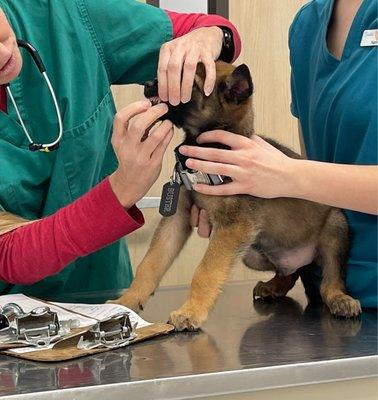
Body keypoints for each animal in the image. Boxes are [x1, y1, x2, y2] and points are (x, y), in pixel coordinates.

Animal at [111, 61, 360, 330]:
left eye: (189, 83)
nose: (147, 84)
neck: (211, 148)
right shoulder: (178, 219)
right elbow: (151, 262)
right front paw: (128, 301)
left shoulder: (233, 227)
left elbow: (206, 271)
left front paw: (191, 311)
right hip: (252, 253)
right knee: (290, 271)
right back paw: (274, 286)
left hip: (335, 228)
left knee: (330, 279)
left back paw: (340, 299)